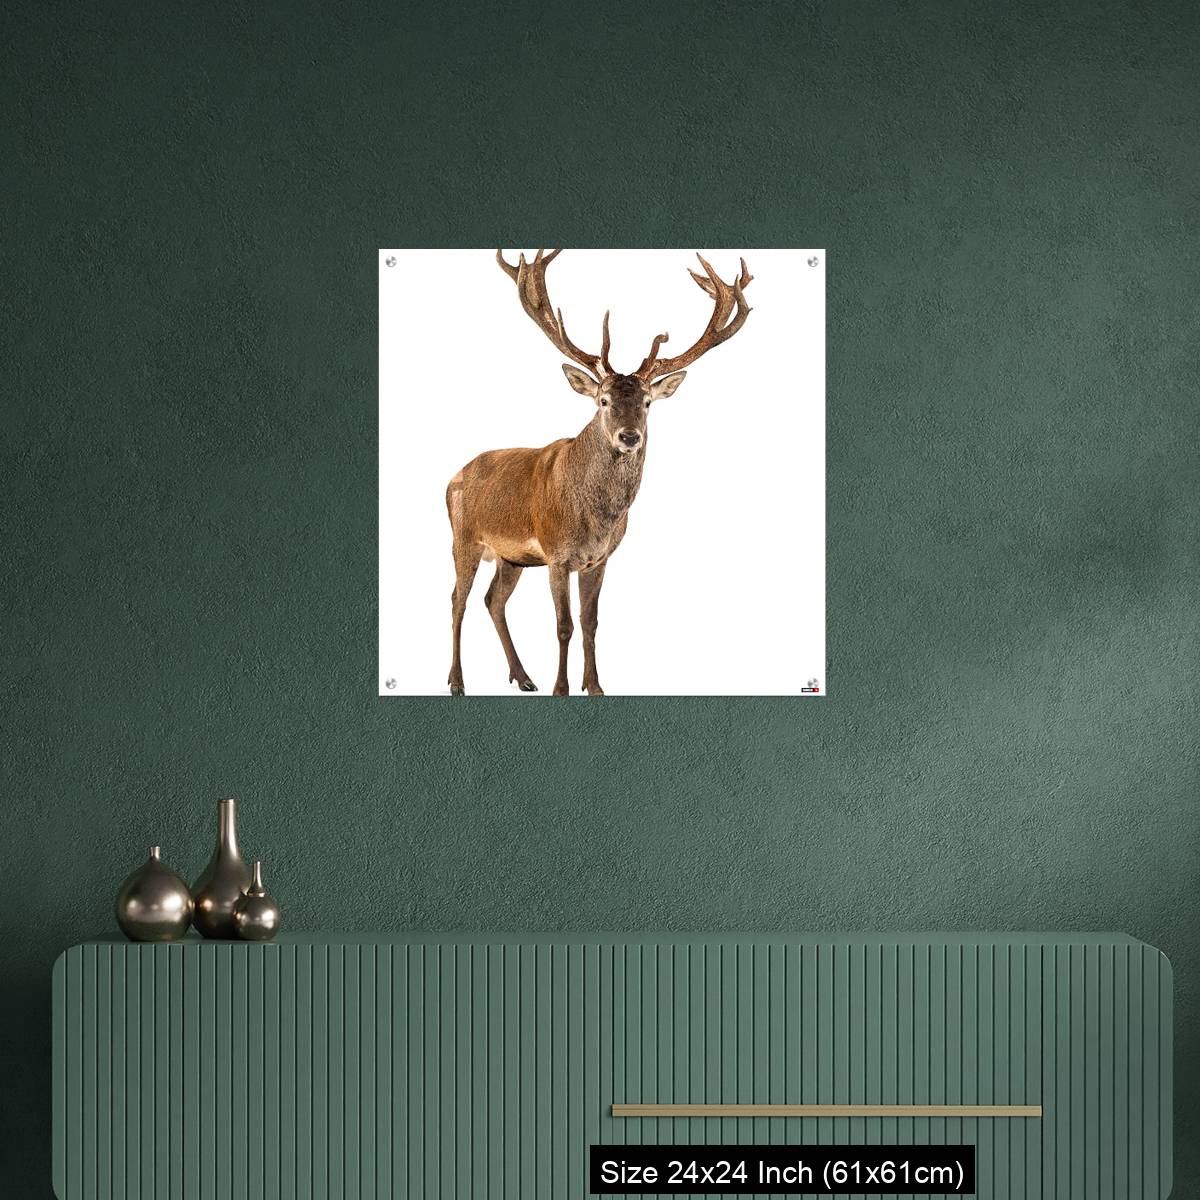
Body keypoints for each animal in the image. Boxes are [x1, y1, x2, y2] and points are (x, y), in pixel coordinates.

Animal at [445, 248, 753, 696]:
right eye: (603, 400)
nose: (629, 436)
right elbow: (563, 625)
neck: (595, 519)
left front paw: (595, 687)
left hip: (511, 557)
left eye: (647, 403)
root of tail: (452, 478)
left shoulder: (599, 560)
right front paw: (561, 689)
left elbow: (590, 623)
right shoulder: (556, 554)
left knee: (493, 600)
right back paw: (457, 681)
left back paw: (523, 677)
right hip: (464, 538)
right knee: (458, 599)